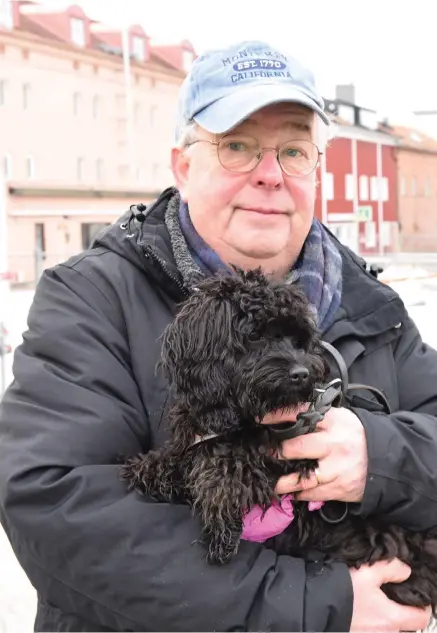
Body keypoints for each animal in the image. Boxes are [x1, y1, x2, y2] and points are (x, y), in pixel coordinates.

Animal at [121, 266, 436, 612]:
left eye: (297, 340)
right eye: (255, 335)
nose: (301, 373)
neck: (239, 413)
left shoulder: (299, 444)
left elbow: (236, 457)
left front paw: (220, 519)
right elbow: (189, 453)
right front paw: (151, 467)